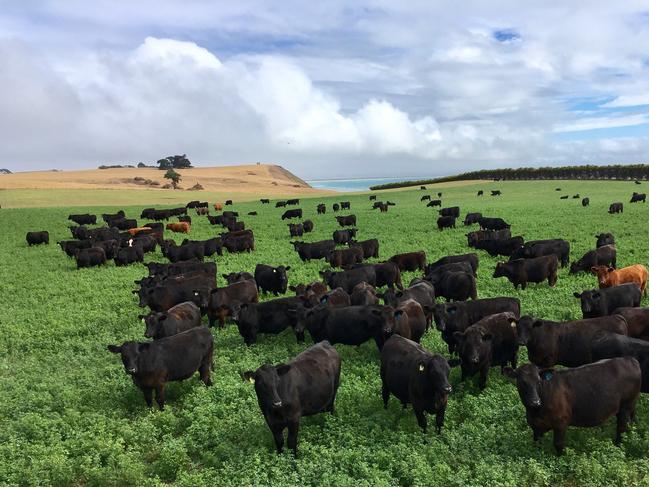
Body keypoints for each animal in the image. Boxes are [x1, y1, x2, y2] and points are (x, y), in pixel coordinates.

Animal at [502, 358, 636, 458]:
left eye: (538, 381)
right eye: (522, 382)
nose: (535, 402)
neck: (536, 411)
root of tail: (629, 359)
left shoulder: (561, 423)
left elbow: (558, 444)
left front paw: (560, 460)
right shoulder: (535, 427)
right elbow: (536, 444)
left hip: (626, 405)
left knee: (621, 427)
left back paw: (618, 447)